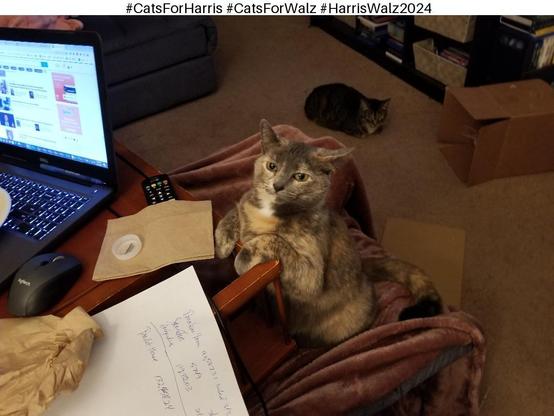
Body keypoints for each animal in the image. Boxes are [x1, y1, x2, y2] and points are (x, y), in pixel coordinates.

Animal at [213, 120, 438, 348]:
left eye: (300, 176)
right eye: (272, 166)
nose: (277, 185)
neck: (270, 212)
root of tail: (363, 266)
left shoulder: (310, 275)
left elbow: (275, 240)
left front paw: (243, 257)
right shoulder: (246, 202)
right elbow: (235, 208)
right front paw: (222, 240)